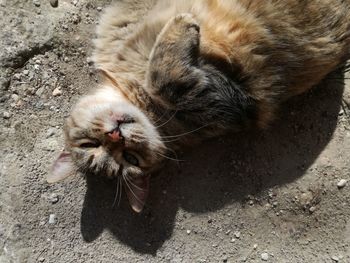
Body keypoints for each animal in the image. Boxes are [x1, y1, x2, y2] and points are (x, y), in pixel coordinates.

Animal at [48, 0, 350, 213]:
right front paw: (182, 24)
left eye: (90, 144)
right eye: (130, 159)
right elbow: (163, 80)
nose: (115, 135)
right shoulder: (236, 103)